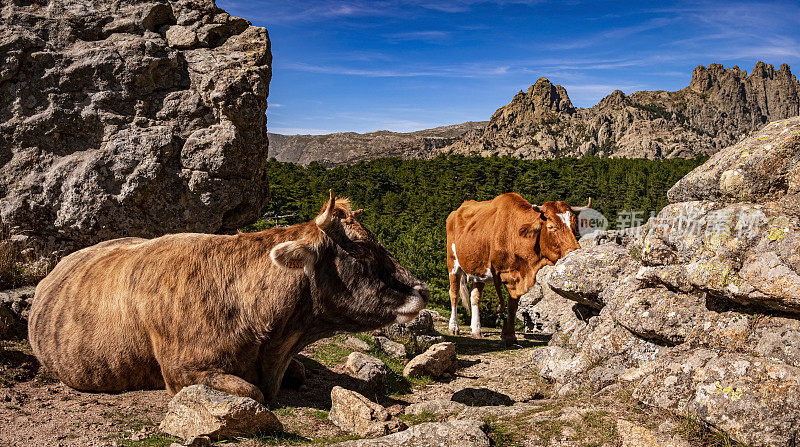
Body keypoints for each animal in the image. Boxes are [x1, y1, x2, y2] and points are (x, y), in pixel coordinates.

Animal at [446, 194, 592, 344]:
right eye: (551, 226)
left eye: (574, 225)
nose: (575, 251)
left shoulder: (519, 276)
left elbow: (513, 305)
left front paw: (509, 335)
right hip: (452, 263)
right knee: (454, 294)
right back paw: (454, 327)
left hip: (478, 269)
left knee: (475, 297)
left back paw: (476, 330)